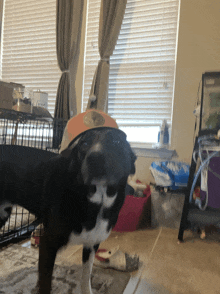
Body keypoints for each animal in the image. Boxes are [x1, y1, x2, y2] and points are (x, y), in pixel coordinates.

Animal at [0, 128, 137, 294]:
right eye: (84, 144)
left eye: (116, 141)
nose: (95, 158)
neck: (97, 200)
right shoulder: (48, 243)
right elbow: (45, 283)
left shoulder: (92, 244)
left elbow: (86, 277)